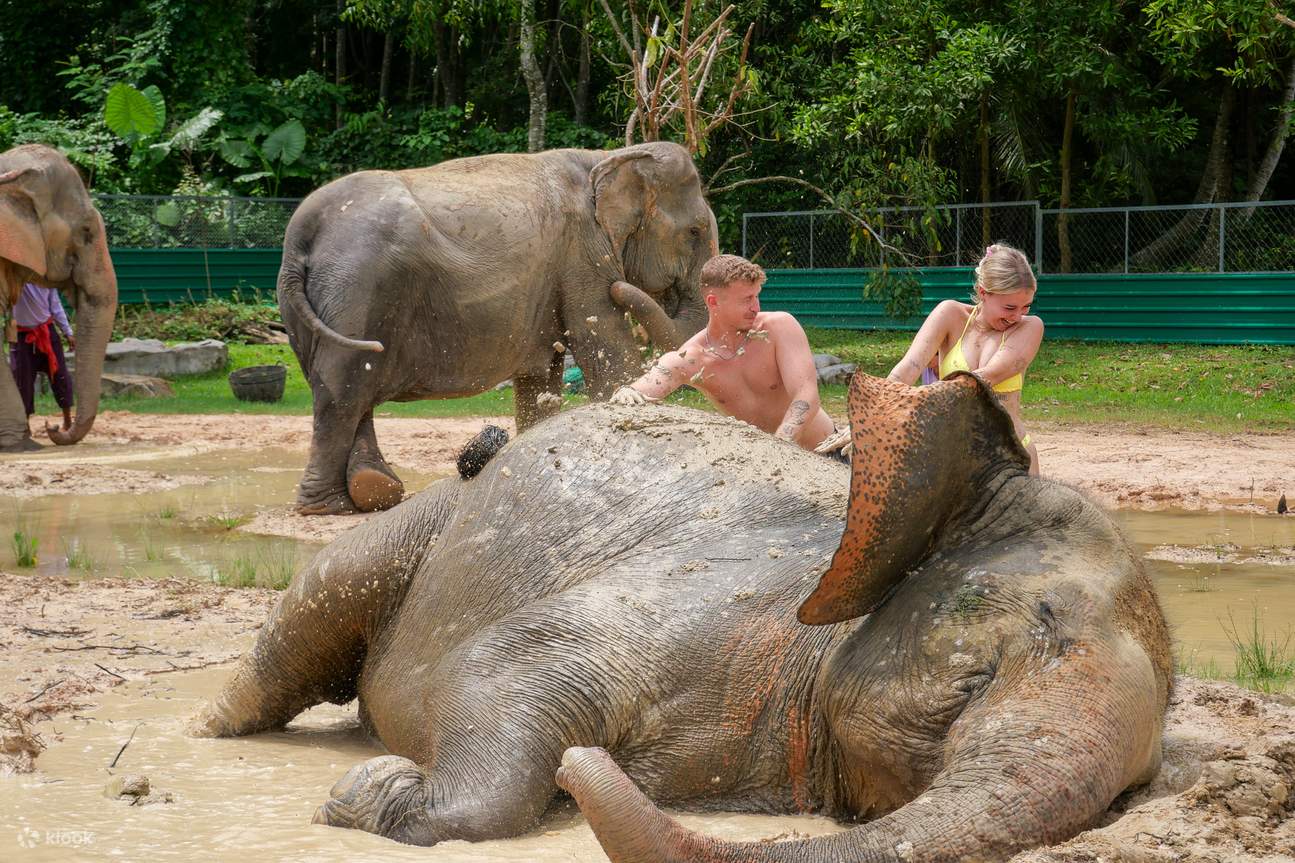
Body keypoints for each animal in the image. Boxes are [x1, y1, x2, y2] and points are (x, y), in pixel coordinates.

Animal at [192, 372, 1171, 862]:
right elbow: (503, 659)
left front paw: (373, 787)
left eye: (1132, 788)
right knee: (313, 614)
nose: (583, 769)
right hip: (429, 522)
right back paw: (206, 730)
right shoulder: (715, 606)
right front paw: (365, 792)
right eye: (1000, 650)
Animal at [276, 140, 716, 516]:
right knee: (344, 389)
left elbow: (540, 383)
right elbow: (608, 356)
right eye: (694, 232)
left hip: (310, 306)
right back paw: (331, 506)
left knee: (344, 386)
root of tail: (300, 234)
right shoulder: (584, 255)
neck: (607, 157)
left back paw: (374, 491)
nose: (620, 286)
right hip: (358, 289)